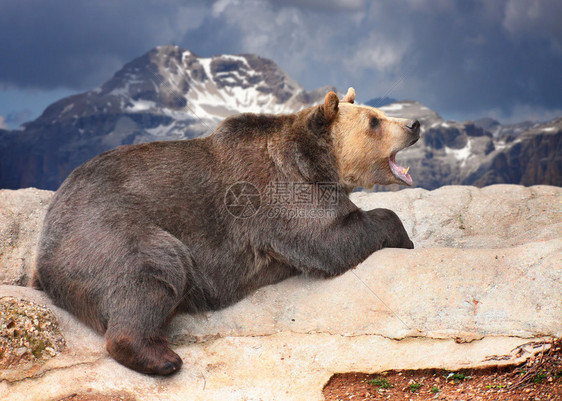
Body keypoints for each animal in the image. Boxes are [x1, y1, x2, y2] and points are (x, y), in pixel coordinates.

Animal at [32, 88, 418, 376]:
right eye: (374, 121)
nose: (414, 123)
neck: (317, 164)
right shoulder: (277, 193)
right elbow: (330, 239)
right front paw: (404, 235)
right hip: (105, 230)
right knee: (155, 266)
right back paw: (161, 357)